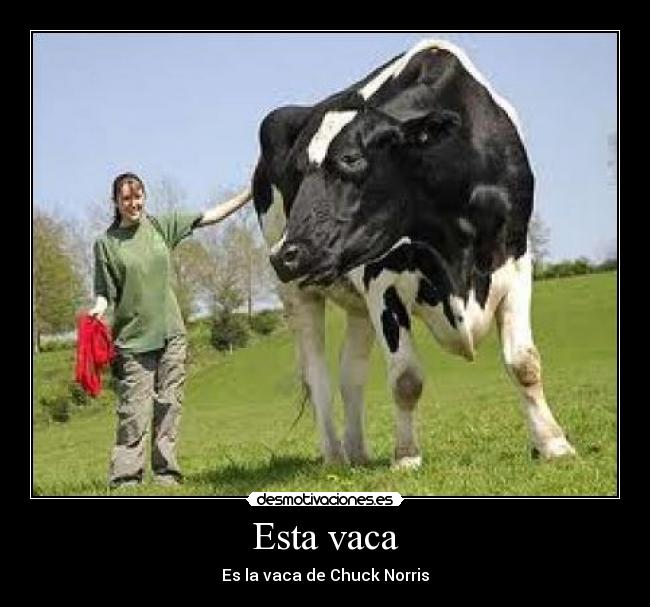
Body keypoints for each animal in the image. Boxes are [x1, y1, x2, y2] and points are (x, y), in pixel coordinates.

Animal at [252, 39, 576, 470]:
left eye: (350, 159)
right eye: (296, 172)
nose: (286, 254)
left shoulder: (515, 257)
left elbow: (524, 362)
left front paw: (553, 443)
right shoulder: (380, 278)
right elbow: (406, 378)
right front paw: (406, 456)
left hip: (356, 305)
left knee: (350, 373)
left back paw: (358, 454)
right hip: (298, 295)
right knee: (318, 376)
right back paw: (335, 457)